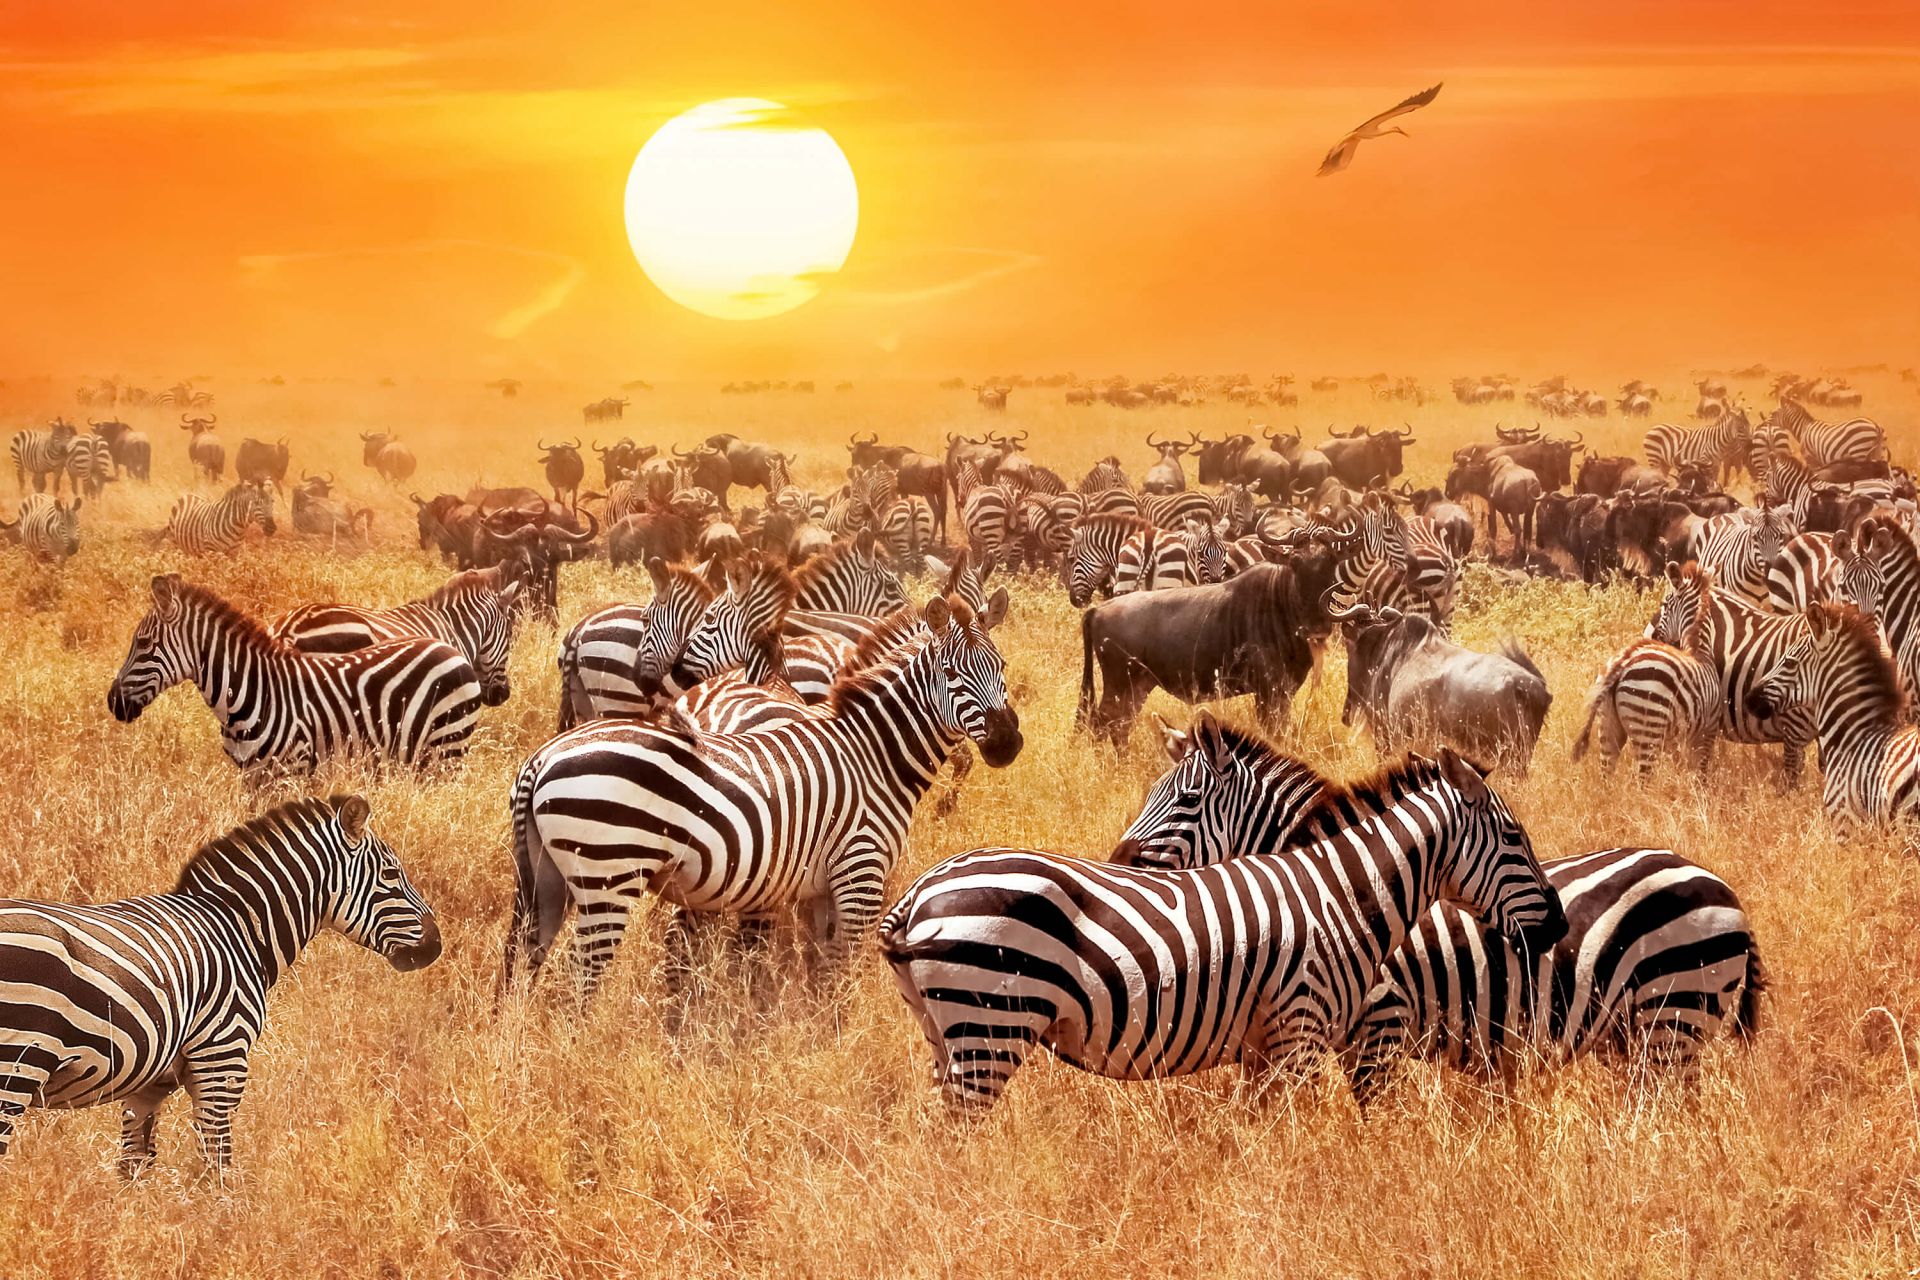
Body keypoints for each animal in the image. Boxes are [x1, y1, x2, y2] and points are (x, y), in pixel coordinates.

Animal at [0, 795, 440, 1175]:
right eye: (391, 874)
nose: (436, 946)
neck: (236, 929)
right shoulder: (223, 1057)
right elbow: (219, 1166)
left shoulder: (149, 1085)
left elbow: (135, 1167)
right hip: (17, 1066)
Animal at [108, 574, 484, 775]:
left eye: (144, 643)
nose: (112, 702)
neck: (252, 691)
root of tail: (448, 647)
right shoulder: (252, 777)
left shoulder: (290, 771)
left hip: (448, 748)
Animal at [500, 591, 1023, 998]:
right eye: (952, 673)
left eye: (999, 666)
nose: (1007, 743)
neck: (872, 753)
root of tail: (542, 758)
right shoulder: (861, 873)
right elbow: (844, 972)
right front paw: (837, 1037)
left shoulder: (820, 888)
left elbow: (822, 969)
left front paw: (812, 1032)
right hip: (609, 875)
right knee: (579, 983)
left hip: (549, 877)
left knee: (526, 960)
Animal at [878, 748, 1566, 1112]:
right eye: (1515, 839)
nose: (1559, 924)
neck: (1341, 895)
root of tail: (916, 894)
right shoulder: (1303, 1030)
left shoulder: (1265, 1047)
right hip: (988, 1026)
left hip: (946, 1032)